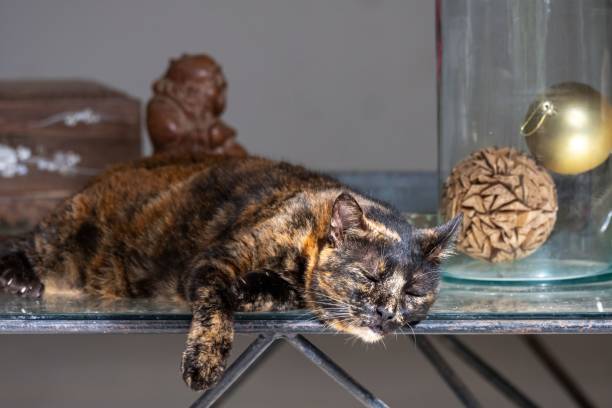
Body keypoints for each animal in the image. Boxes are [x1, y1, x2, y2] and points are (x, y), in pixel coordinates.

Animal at [0, 155, 460, 390]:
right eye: (369, 276)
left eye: (414, 293)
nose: (386, 314)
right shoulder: (212, 263)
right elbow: (216, 308)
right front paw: (203, 363)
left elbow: (270, 290)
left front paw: (253, 288)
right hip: (70, 238)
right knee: (29, 244)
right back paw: (18, 276)